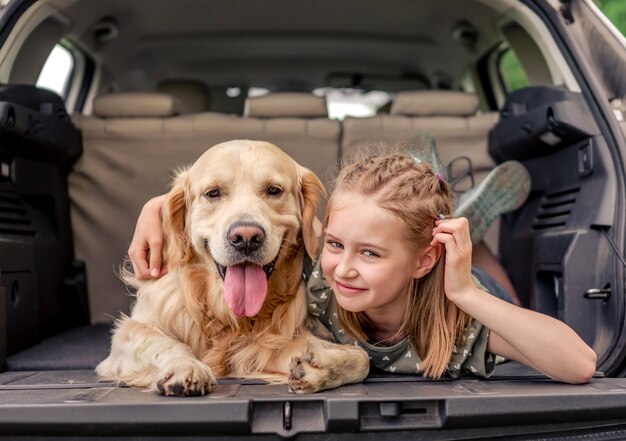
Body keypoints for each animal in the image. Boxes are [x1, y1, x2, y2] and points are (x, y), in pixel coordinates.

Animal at [97, 139, 368, 394]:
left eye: (274, 190)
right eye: (213, 193)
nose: (246, 238)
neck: (227, 315)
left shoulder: (267, 344)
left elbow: (361, 357)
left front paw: (320, 368)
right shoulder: (129, 332)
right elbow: (164, 343)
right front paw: (186, 366)